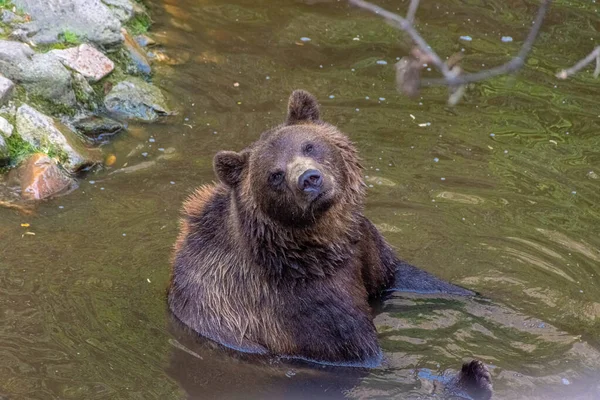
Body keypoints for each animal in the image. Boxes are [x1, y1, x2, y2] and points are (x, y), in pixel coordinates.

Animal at [168, 90, 492, 396]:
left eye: (309, 145)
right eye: (275, 174)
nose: (309, 179)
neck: (323, 243)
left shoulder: (361, 246)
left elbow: (403, 276)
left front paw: (478, 296)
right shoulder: (294, 305)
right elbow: (360, 353)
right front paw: (469, 375)